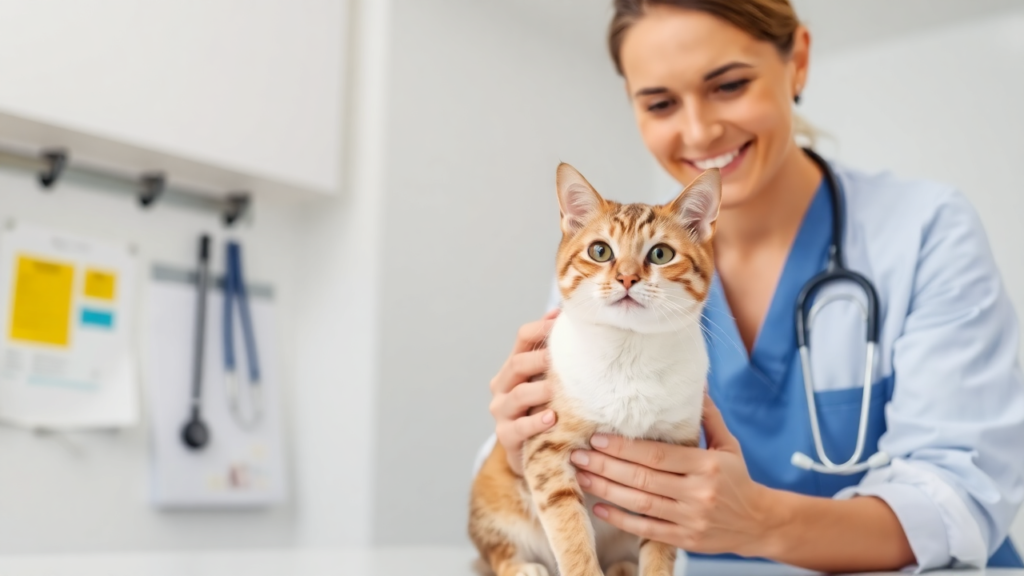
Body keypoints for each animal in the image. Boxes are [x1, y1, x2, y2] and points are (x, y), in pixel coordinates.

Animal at [468, 161, 720, 573]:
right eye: (600, 251)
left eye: (661, 254)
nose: (627, 277)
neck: (629, 353)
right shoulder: (547, 449)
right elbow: (571, 536)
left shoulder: (674, 463)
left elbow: (660, 545)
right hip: (493, 497)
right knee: (496, 547)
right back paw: (522, 565)